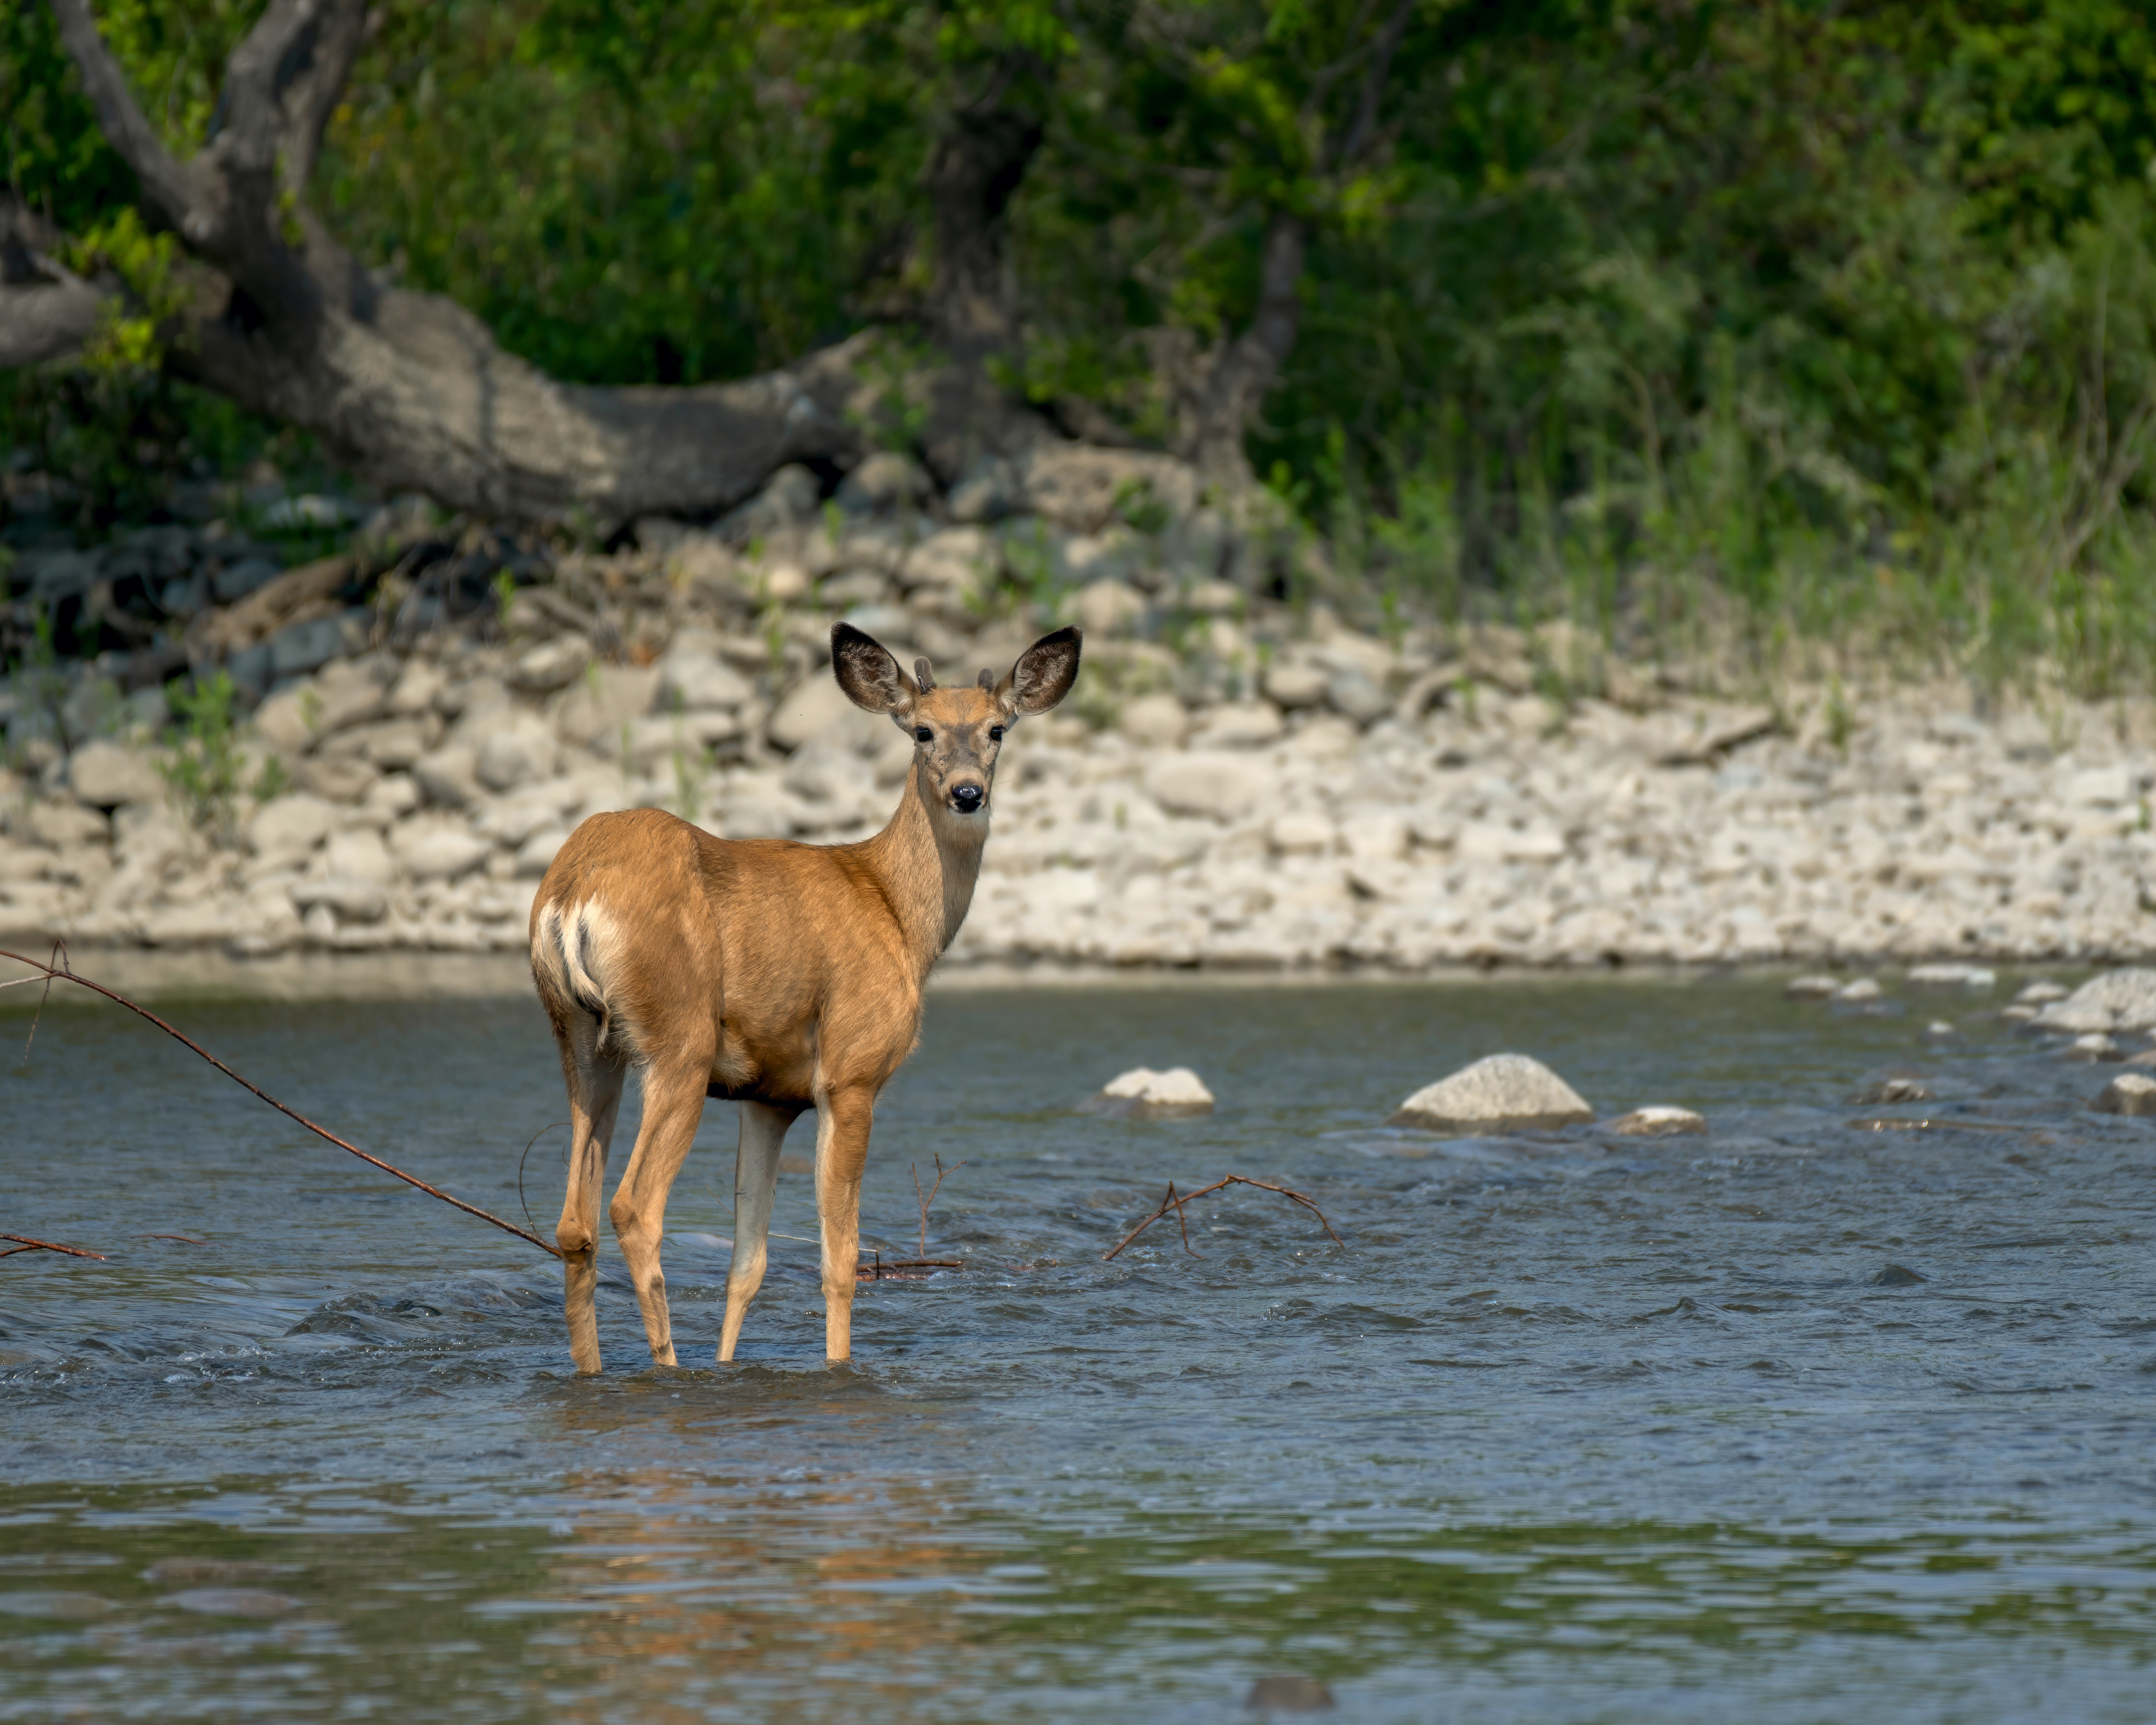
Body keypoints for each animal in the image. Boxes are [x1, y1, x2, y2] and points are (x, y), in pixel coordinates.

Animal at [524, 621, 1078, 1371]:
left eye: (997, 729)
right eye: (923, 731)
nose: (968, 793)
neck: (899, 914)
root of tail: (573, 892)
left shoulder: (769, 1098)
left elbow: (748, 1266)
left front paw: (731, 1364)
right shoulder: (851, 1072)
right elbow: (840, 1259)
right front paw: (838, 1367)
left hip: (582, 1041)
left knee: (574, 1224)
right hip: (679, 1040)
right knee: (634, 1208)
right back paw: (667, 1367)